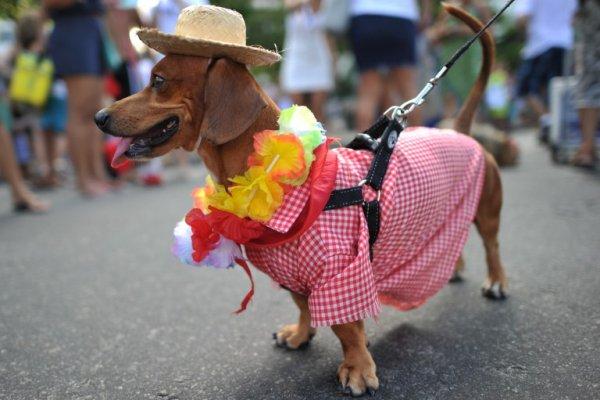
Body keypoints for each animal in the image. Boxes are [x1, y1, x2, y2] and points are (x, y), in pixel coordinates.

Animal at [95, 3, 506, 396]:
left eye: (158, 80)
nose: (99, 116)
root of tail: (460, 131)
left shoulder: (342, 271)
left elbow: (347, 328)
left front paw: (358, 368)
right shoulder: (293, 273)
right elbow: (303, 303)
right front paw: (300, 333)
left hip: (487, 214)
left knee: (492, 247)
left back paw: (496, 282)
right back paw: (453, 268)